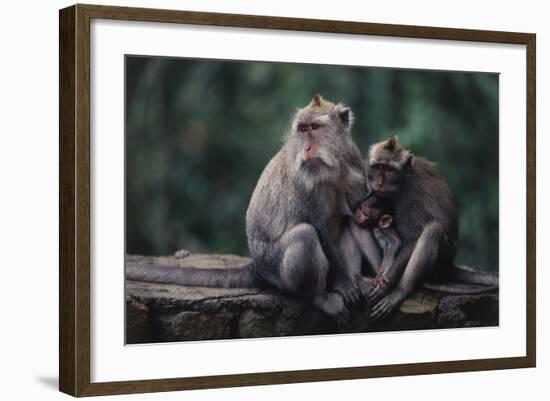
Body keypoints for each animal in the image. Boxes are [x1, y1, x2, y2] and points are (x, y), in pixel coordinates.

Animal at [128, 96, 374, 324]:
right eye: (303, 129)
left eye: (315, 127)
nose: (306, 148)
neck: (334, 168)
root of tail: (257, 267)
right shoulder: (305, 183)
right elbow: (319, 228)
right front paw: (344, 284)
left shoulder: (356, 167)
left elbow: (359, 218)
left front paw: (360, 279)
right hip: (275, 268)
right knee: (305, 235)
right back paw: (319, 299)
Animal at [366, 134, 500, 318]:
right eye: (378, 167)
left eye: (389, 170)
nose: (379, 183)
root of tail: (449, 264)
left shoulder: (408, 196)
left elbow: (413, 238)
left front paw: (386, 285)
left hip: (443, 256)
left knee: (433, 230)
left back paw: (402, 290)